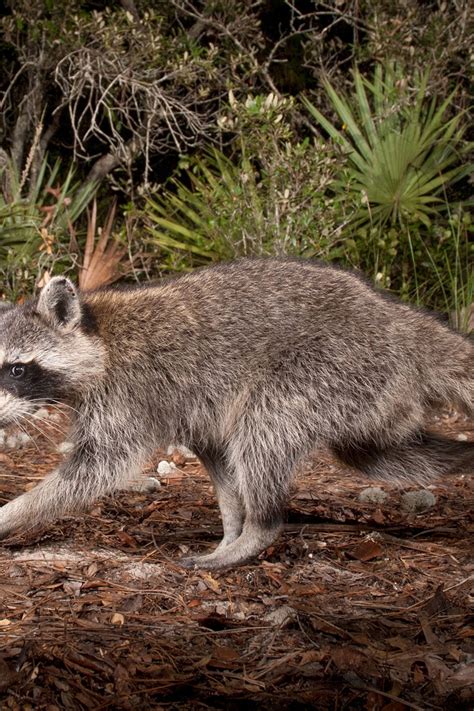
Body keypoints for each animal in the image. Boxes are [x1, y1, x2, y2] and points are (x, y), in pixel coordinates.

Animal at [0, 259, 472, 569]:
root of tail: (399, 320)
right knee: (381, 457)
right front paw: (231, 527)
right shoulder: (195, 410)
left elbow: (98, 467)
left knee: (266, 428)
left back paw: (261, 527)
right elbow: (218, 462)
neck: (99, 336)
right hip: (370, 395)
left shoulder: (129, 395)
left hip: (330, 366)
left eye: (17, 369)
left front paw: (14, 512)